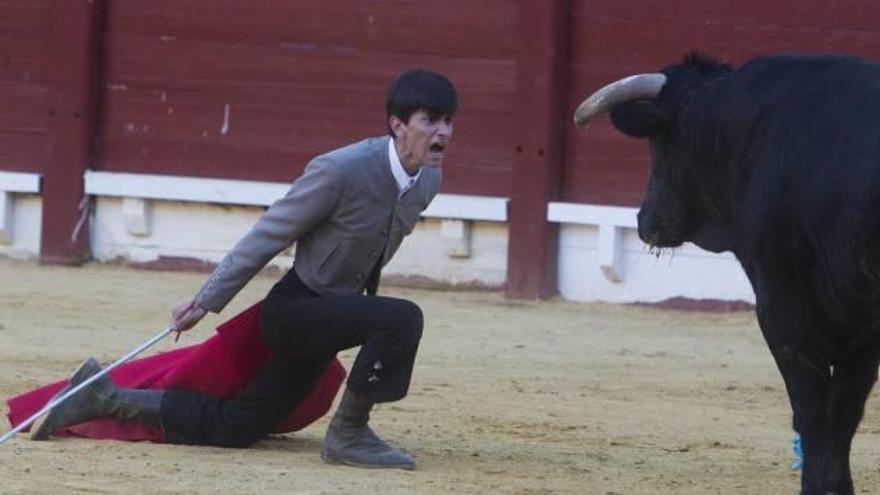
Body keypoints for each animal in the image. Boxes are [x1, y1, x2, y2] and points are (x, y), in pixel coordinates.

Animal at [576, 51, 880, 495]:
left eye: (658, 144)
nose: (644, 221)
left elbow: (813, 410)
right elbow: (842, 413)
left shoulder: (782, 304)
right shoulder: (862, 323)